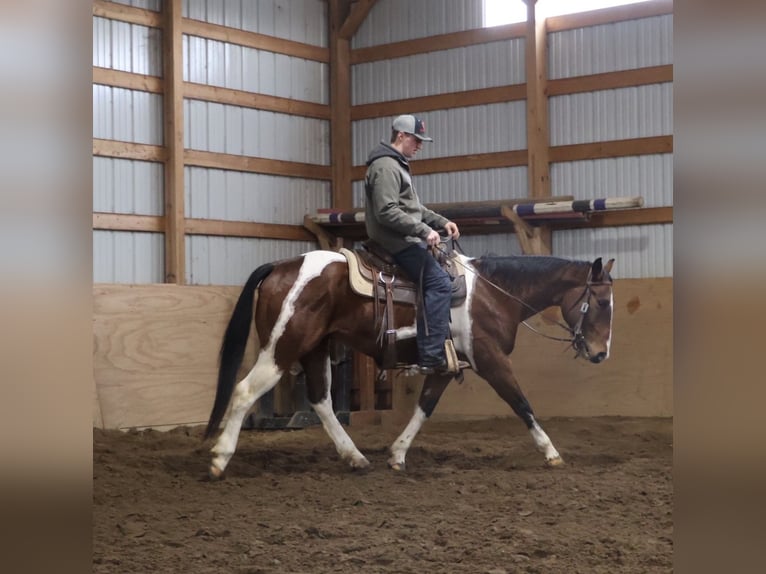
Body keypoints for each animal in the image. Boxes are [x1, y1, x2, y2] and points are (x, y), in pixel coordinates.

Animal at [203, 248, 615, 477]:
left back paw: (355, 458)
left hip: (314, 348)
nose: (600, 354)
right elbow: (521, 403)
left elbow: (424, 407)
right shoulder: (491, 360)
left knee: (321, 401)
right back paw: (219, 460)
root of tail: (279, 266)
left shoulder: (446, 365)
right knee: (244, 392)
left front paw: (397, 454)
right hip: (283, 346)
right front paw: (552, 453)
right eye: (601, 302)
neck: (491, 293)